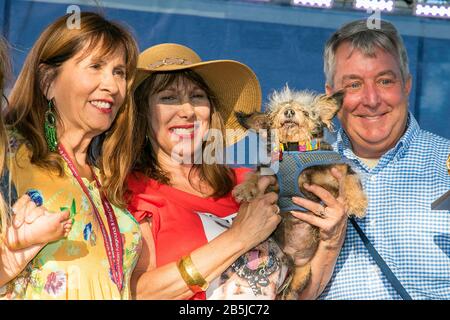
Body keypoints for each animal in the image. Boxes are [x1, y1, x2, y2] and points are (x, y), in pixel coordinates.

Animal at [234, 85, 368, 300]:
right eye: (278, 112)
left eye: (305, 112)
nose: (289, 112)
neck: (295, 149)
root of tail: (292, 259)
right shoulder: (269, 174)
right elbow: (255, 175)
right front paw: (245, 190)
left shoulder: (338, 170)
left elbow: (350, 178)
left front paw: (357, 203)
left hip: (303, 275)